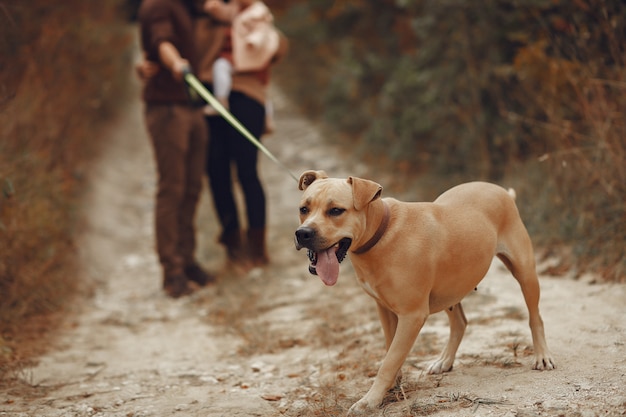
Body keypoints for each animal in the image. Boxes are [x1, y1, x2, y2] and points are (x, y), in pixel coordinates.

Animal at [294, 171, 552, 414]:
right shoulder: (386, 310)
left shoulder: (411, 316)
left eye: (336, 210)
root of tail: (502, 191)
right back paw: (445, 361)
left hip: (525, 272)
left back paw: (542, 356)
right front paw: (391, 387)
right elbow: (391, 352)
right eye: (303, 209)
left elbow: (389, 361)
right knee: (460, 322)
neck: (381, 233)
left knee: (535, 317)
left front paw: (370, 400)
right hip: (450, 287)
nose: (303, 233)